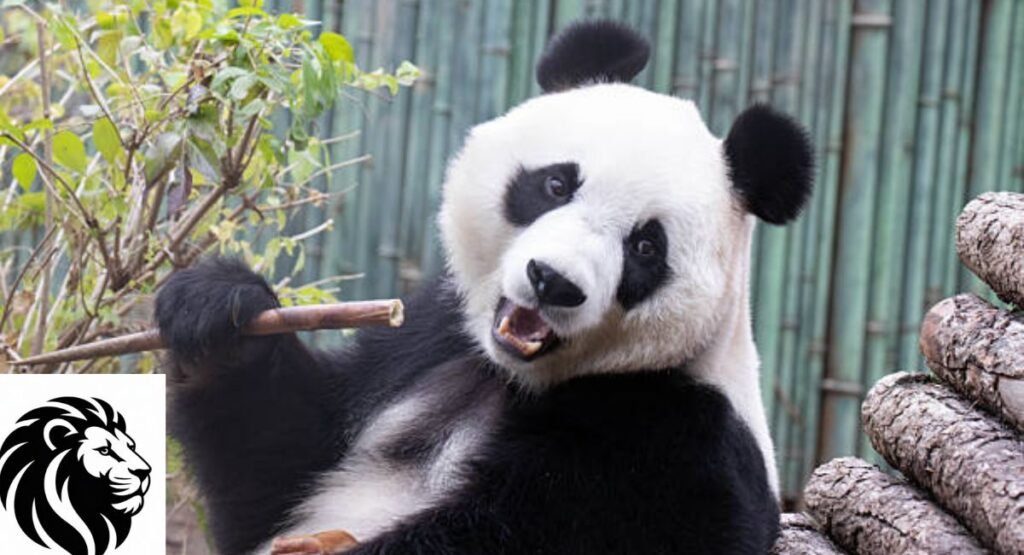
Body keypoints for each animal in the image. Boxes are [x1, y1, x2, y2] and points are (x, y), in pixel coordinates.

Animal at [158, 20, 812, 555]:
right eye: (556, 184)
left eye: (645, 247)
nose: (553, 281)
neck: (516, 377)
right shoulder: (429, 336)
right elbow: (280, 470)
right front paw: (218, 312)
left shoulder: (673, 442)